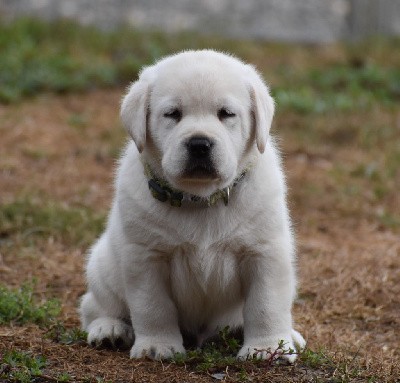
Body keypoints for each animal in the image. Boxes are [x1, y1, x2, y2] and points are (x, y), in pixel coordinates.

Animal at [81, 49, 306, 362]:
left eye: (226, 113)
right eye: (172, 114)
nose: (199, 144)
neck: (201, 199)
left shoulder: (265, 252)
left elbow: (266, 304)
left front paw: (268, 347)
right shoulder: (145, 257)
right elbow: (152, 307)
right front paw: (157, 346)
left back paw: (291, 336)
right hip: (102, 266)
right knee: (94, 306)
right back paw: (109, 329)